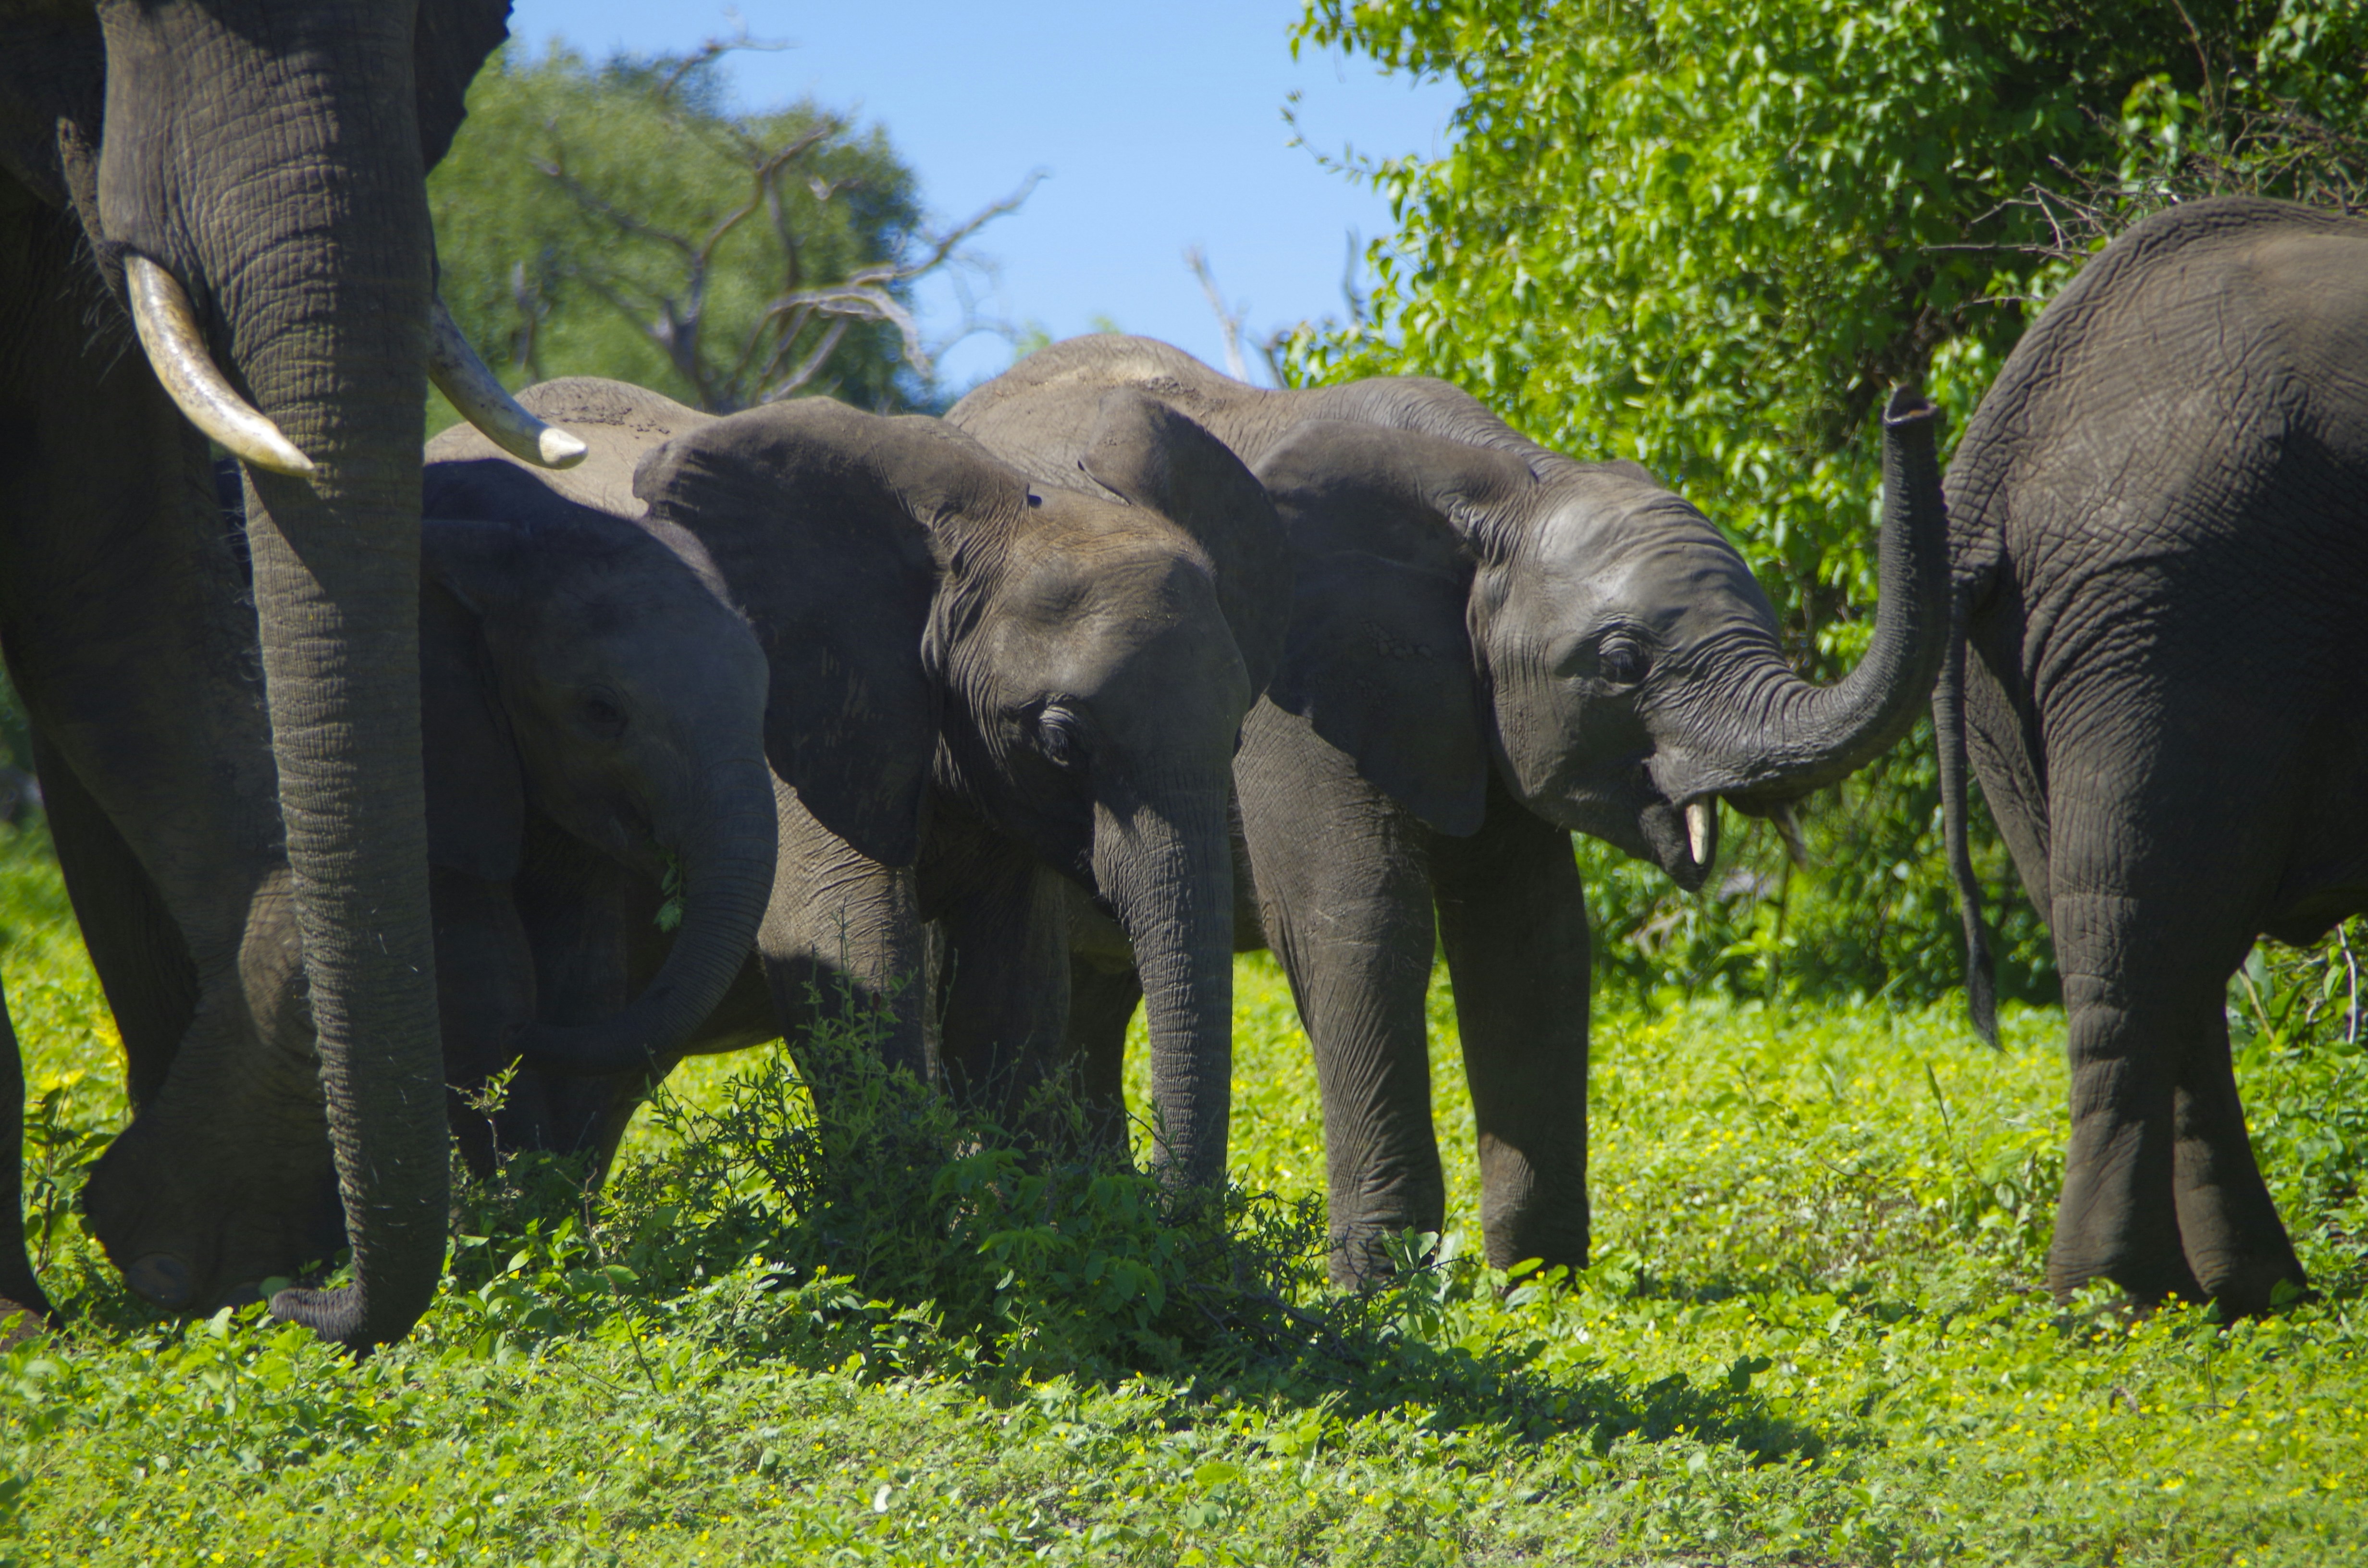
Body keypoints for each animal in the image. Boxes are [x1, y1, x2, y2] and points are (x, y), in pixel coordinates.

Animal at [420, 378, 1287, 1192]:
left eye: (1239, 735)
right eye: (1060, 741)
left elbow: (1013, 988)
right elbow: (843, 937)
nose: (1170, 1201)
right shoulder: (806, 709)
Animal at [949, 337, 1950, 1282]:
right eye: (1622, 662)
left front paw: (1539, 1291)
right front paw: (1382, 1291)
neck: (1503, 479)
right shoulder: (1289, 702)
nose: (1910, 404)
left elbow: (1533, 941)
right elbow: (1358, 922)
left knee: (1098, 995)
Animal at [1935, 195, 2368, 1316]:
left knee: (2143, 931)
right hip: (2190, 602)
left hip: (2048, 657)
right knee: (2148, 937)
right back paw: (2121, 1298)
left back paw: (2239, 1293)